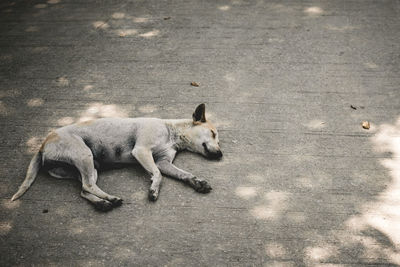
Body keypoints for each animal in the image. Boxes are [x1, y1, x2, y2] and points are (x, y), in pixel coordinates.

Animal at [10, 103, 222, 210]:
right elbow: (158, 175)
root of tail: (42, 145)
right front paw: (153, 189)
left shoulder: (163, 162)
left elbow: (183, 174)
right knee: (88, 186)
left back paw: (103, 202)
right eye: (213, 134)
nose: (221, 155)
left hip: (89, 168)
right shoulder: (142, 151)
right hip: (84, 156)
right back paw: (110, 199)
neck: (171, 132)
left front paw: (197, 182)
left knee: (84, 189)